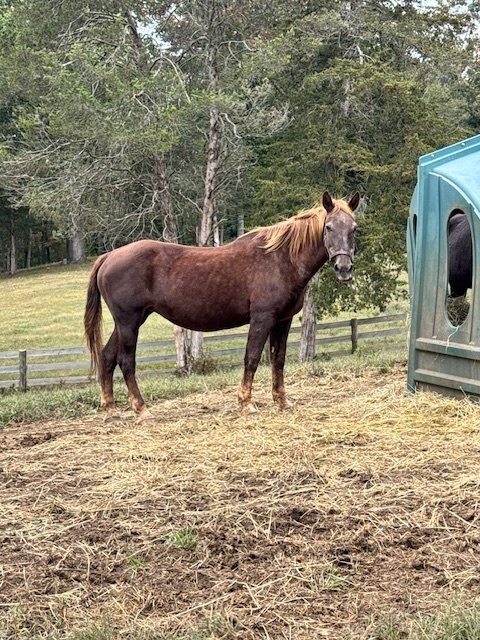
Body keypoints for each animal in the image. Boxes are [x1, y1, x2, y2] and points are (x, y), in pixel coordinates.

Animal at [84, 191, 360, 423]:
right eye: (328, 227)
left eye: (354, 228)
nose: (344, 268)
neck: (280, 259)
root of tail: (109, 256)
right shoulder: (262, 318)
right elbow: (252, 357)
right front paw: (246, 403)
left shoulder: (283, 320)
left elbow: (278, 359)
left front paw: (282, 401)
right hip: (129, 322)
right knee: (126, 361)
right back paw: (142, 410)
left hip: (129, 322)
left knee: (107, 357)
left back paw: (111, 411)